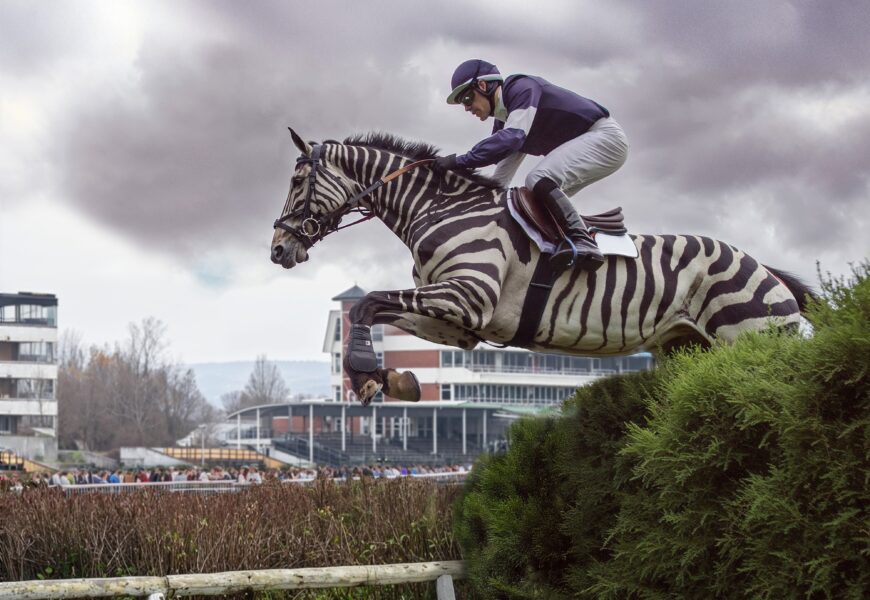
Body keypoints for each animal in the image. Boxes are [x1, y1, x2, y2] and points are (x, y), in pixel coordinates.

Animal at [270, 129, 813, 406]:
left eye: (297, 181)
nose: (278, 249)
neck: (441, 208)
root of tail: (765, 268)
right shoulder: (457, 322)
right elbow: (377, 308)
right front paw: (390, 379)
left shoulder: (467, 296)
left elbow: (367, 302)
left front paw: (366, 373)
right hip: (686, 348)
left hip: (752, 339)